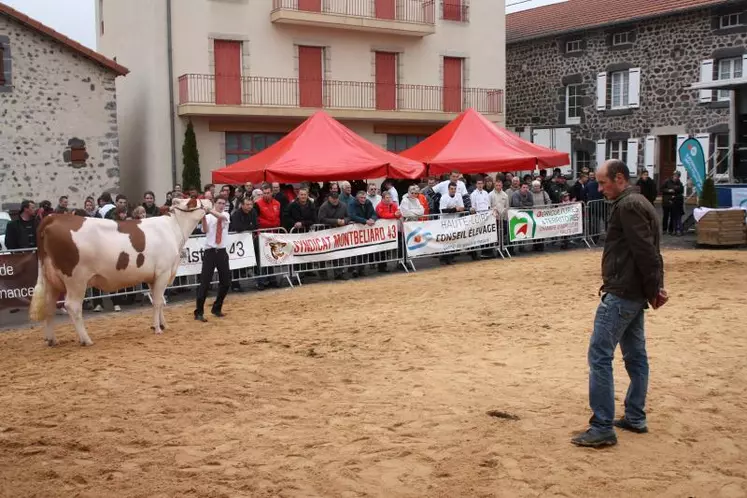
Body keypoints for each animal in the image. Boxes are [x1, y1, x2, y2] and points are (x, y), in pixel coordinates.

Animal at [29, 196, 210, 344]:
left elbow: (157, 301)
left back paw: (51, 339)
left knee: (49, 305)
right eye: (196, 201)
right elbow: (158, 302)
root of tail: (53, 217)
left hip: (51, 279)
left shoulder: (153, 276)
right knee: (72, 306)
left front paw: (162, 324)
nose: (209, 200)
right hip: (76, 279)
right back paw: (86, 339)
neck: (173, 228)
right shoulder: (163, 272)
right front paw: (158, 328)